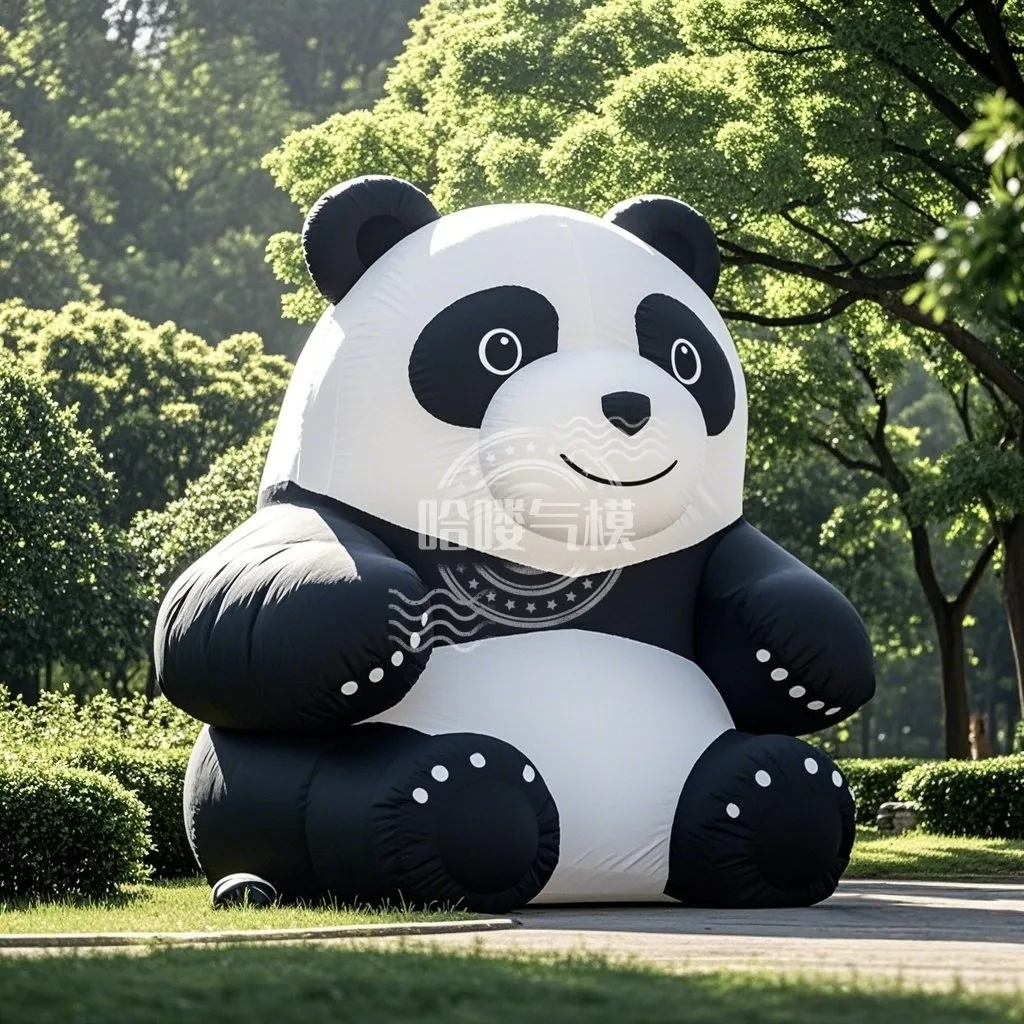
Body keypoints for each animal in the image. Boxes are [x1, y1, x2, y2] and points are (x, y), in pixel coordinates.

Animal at [156, 175, 875, 912]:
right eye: (499, 347)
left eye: (686, 358)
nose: (629, 406)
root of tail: (601, 878)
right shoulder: (316, 515)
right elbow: (226, 625)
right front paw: (375, 619)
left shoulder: (701, 549)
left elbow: (784, 602)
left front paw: (804, 651)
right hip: (258, 789)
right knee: (301, 782)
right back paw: (447, 790)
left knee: (767, 784)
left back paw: (773, 794)